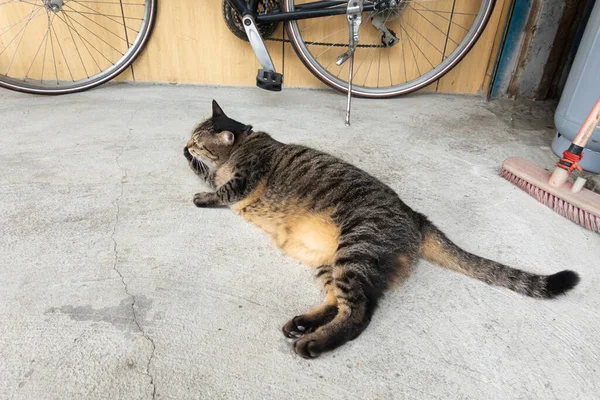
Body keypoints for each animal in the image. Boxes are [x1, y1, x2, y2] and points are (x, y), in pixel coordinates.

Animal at [184, 100, 580, 360]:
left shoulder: (241, 180)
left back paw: (313, 342)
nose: (186, 143)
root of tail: (416, 216)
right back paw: (305, 323)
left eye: (198, 138)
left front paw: (200, 191)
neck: (244, 145)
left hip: (356, 249)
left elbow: (219, 189)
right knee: (341, 303)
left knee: (359, 313)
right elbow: (207, 174)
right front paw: (191, 163)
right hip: (332, 262)